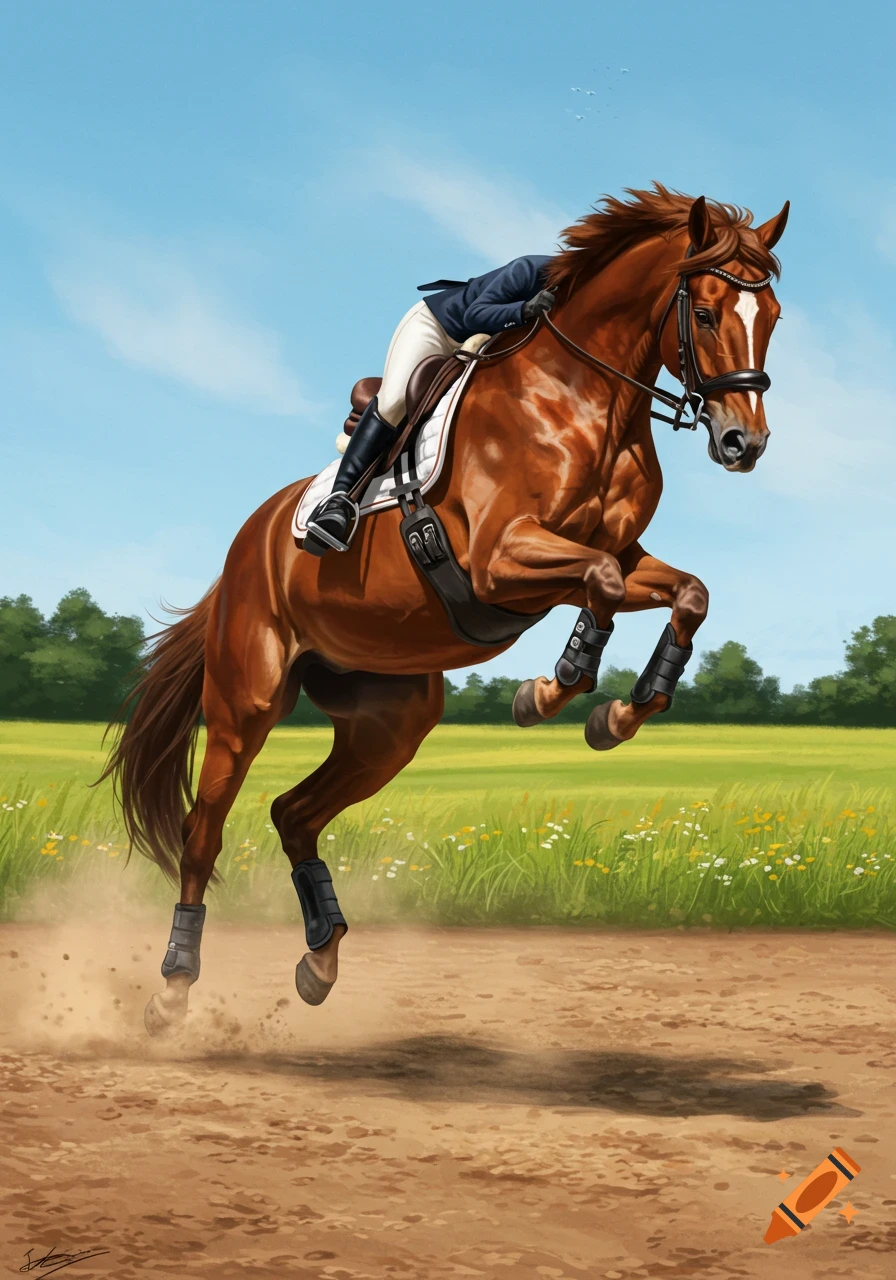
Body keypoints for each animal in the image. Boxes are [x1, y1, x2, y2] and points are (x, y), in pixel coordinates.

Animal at [100, 183, 788, 1034]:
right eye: (708, 313)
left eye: (774, 315)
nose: (743, 444)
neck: (586, 399)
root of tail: (243, 551)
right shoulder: (499, 560)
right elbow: (599, 581)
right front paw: (551, 691)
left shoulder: (616, 554)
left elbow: (683, 591)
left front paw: (618, 716)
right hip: (245, 702)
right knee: (204, 834)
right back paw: (173, 986)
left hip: (391, 720)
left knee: (295, 812)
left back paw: (321, 958)